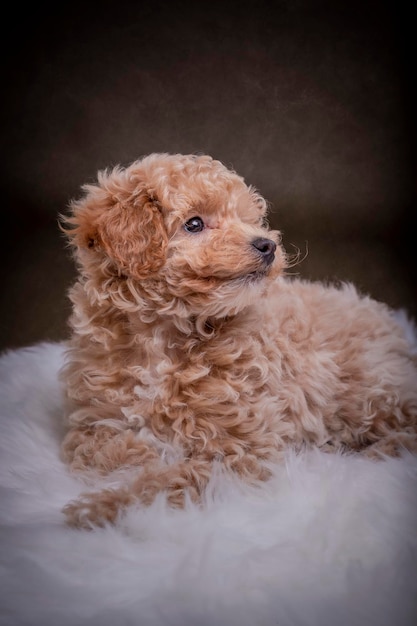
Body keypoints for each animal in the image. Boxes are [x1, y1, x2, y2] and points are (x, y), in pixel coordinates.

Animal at [59, 152, 416, 528]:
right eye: (195, 224)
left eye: (247, 220)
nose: (268, 244)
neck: (164, 336)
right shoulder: (92, 418)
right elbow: (90, 451)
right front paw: (141, 454)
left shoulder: (239, 452)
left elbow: (171, 480)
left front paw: (101, 507)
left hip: (370, 389)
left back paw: (381, 451)